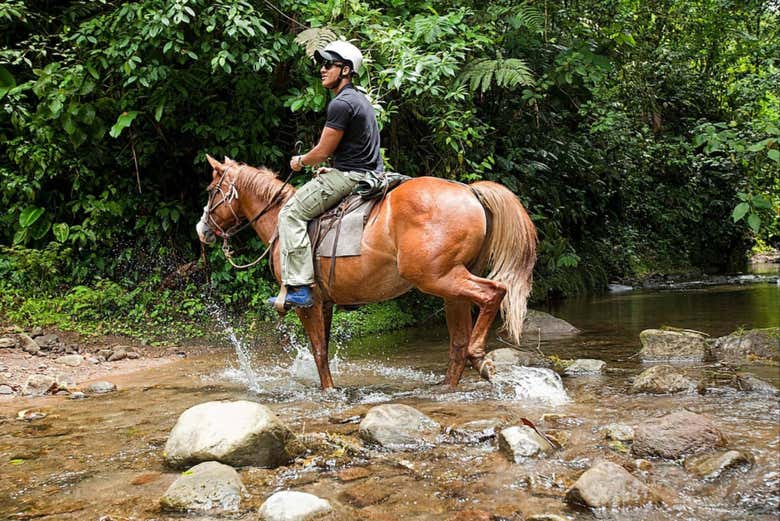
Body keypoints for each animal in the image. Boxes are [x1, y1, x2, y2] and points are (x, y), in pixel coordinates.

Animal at [196, 155, 537, 390]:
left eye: (212, 191)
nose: (202, 230)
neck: (281, 219)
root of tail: (470, 192)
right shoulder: (326, 303)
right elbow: (323, 348)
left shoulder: (308, 302)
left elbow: (318, 351)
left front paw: (329, 392)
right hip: (450, 288)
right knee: (458, 342)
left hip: (438, 278)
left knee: (494, 293)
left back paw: (480, 358)